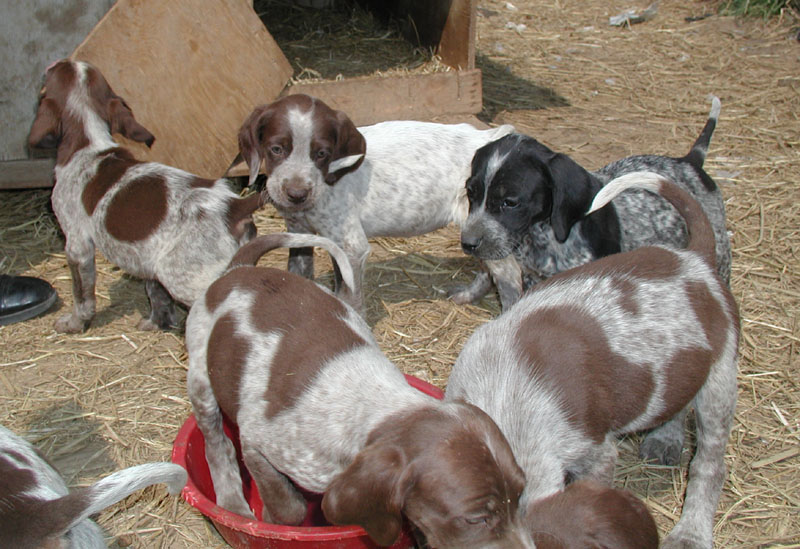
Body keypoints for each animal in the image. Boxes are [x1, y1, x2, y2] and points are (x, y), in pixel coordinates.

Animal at [27, 59, 268, 333]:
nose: (59, 61)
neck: (88, 143)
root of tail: (235, 205)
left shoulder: (77, 244)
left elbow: (82, 294)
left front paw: (75, 322)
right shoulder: (148, 256)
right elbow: (156, 292)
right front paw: (157, 322)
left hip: (183, 276)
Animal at [185, 232, 533, 548]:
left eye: (520, 495)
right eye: (475, 519)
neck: (379, 408)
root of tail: (239, 268)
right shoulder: (257, 442)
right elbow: (290, 508)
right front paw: (269, 522)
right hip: (201, 379)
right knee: (217, 445)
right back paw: (232, 500)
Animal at [237, 94, 516, 312]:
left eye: (322, 153)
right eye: (276, 149)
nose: (297, 194)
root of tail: (490, 138)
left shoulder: (352, 247)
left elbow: (350, 297)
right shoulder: (299, 230)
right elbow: (299, 271)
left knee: (510, 282)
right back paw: (467, 295)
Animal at [454, 96, 731, 310]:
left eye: (510, 202)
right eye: (471, 193)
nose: (468, 244)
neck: (543, 238)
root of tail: (690, 162)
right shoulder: (535, 279)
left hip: (720, 252)